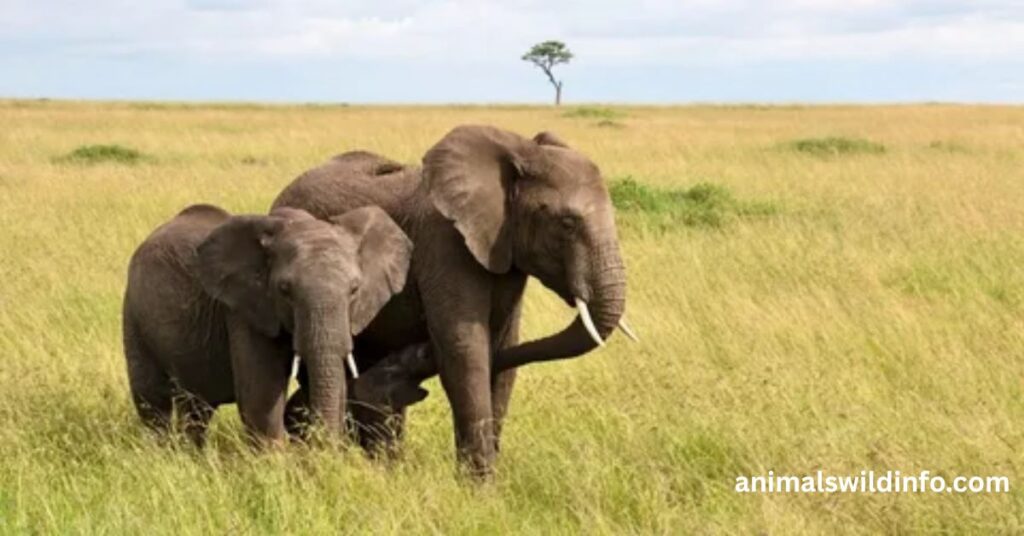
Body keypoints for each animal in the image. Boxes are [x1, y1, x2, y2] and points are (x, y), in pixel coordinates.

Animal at [121, 202, 419, 446]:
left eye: (355, 289)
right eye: (284, 290)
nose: (327, 451)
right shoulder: (244, 310)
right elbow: (260, 396)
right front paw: (275, 468)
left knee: (196, 406)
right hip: (133, 313)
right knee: (153, 401)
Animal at [272, 125, 634, 476]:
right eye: (567, 223)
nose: (420, 350)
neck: (518, 153)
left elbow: (502, 349)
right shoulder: (444, 243)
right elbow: (465, 349)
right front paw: (479, 486)